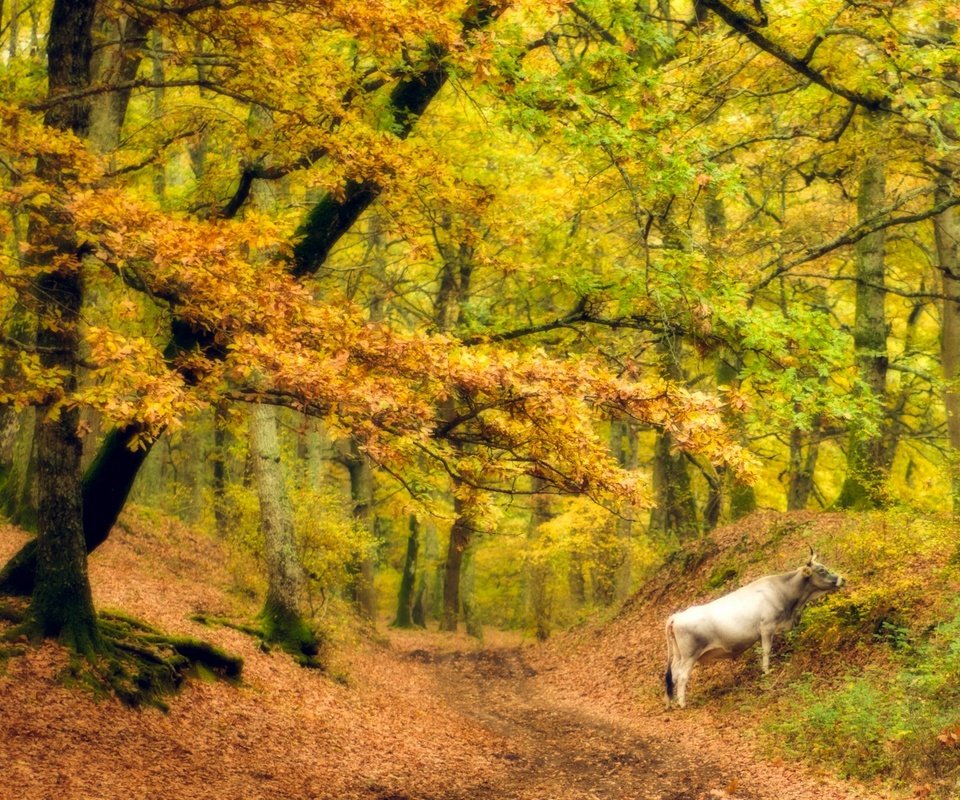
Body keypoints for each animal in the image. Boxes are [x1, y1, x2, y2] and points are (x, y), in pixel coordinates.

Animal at [668, 552, 840, 708]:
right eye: (821, 570)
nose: (841, 579)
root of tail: (678, 616)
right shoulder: (767, 627)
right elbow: (766, 650)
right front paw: (767, 671)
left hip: (679, 656)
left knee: (673, 675)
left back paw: (670, 702)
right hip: (690, 656)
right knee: (682, 676)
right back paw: (682, 703)